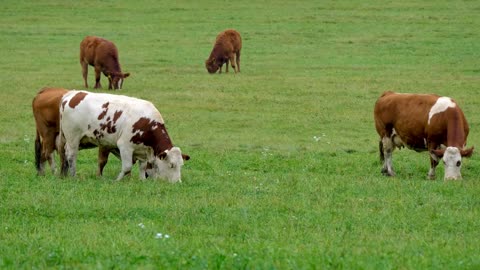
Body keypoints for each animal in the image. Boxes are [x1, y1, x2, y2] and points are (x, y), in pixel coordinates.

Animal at [58, 90, 189, 181]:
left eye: (181, 165)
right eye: (171, 165)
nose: (178, 182)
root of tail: (73, 94)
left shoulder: (142, 151)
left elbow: (142, 167)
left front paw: (142, 180)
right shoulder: (125, 146)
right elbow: (127, 167)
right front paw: (117, 180)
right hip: (73, 138)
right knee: (71, 155)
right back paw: (73, 175)